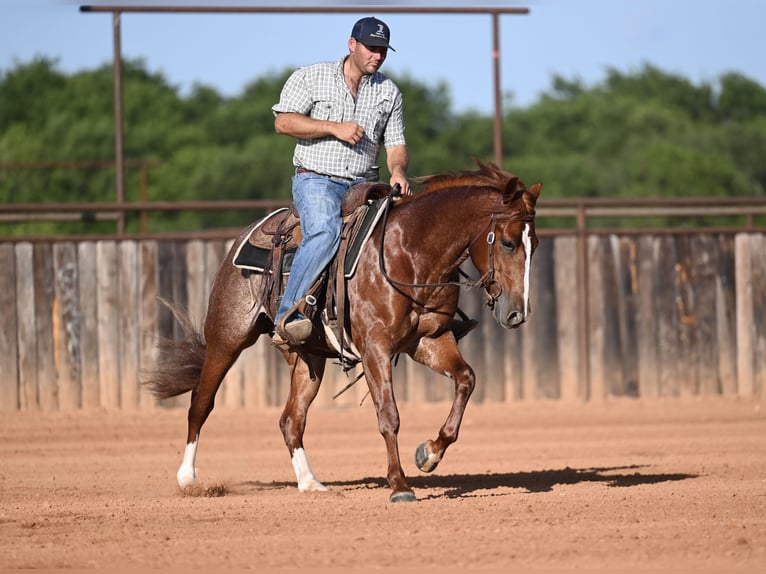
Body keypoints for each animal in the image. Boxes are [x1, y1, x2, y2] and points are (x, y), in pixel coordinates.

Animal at [144, 160, 542, 502]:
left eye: (533, 244)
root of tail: (250, 232)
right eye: (507, 242)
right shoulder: (375, 347)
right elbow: (388, 414)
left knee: (291, 420)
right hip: (226, 338)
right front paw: (399, 485)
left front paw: (429, 454)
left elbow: (466, 379)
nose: (517, 314)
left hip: (308, 358)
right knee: (201, 402)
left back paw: (310, 483)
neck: (410, 252)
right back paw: (188, 479)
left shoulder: (429, 341)